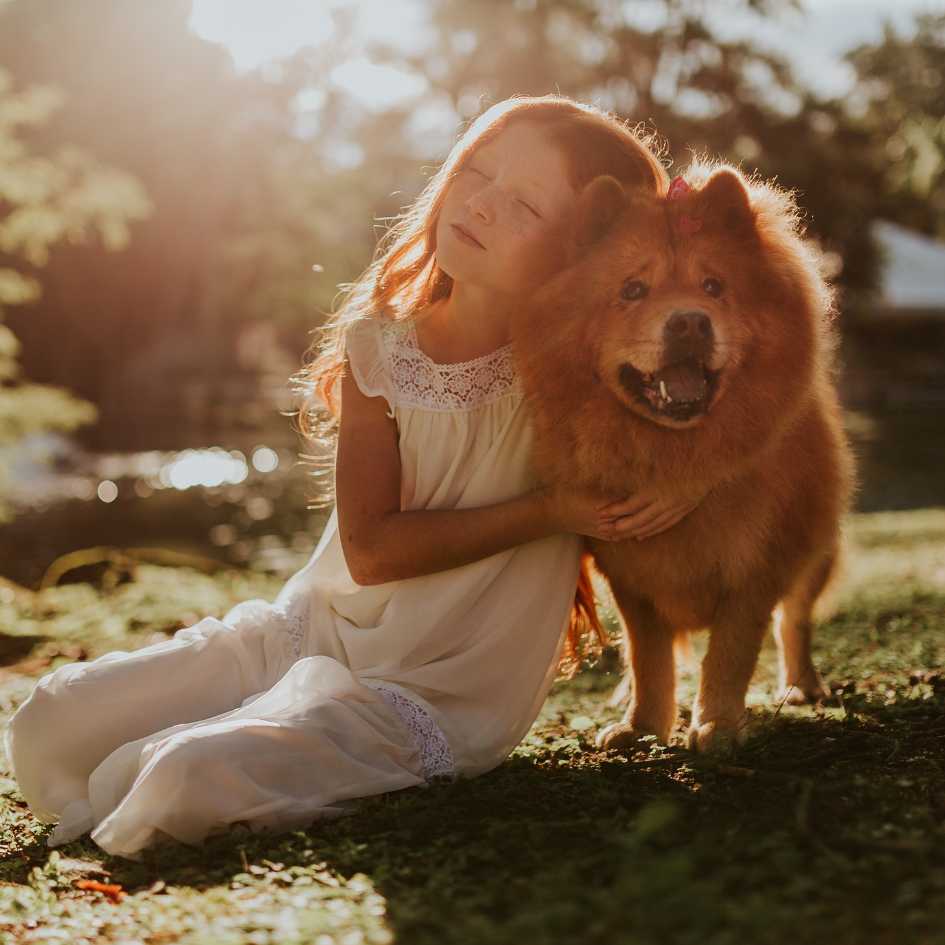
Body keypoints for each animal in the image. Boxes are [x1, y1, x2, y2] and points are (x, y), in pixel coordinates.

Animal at [512, 160, 860, 752]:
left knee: (795, 620)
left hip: (815, 547)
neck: (673, 451)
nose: (690, 321)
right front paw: (642, 725)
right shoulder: (629, 574)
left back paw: (802, 686)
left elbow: (731, 652)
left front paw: (717, 725)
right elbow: (649, 656)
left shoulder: (758, 565)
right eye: (632, 289)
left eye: (714, 286)